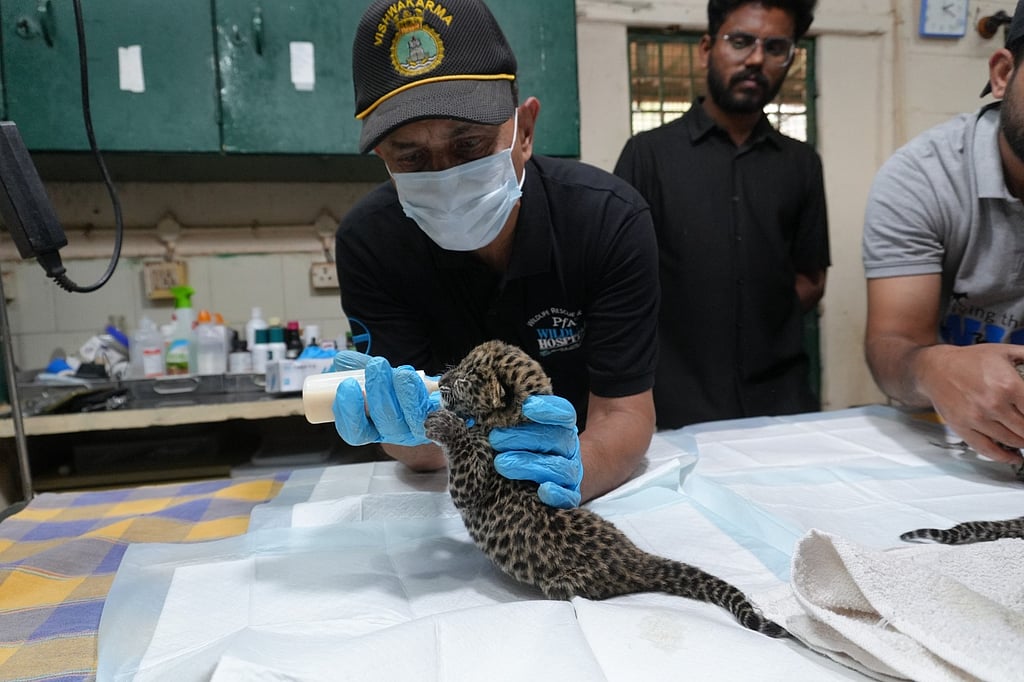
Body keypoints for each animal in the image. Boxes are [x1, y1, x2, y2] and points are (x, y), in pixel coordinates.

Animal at [423, 339, 788, 638]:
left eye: (467, 378)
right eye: (461, 364)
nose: (442, 381)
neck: (511, 422)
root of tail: (634, 556)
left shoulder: (474, 484)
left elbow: (463, 458)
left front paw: (443, 423)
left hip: (573, 582)